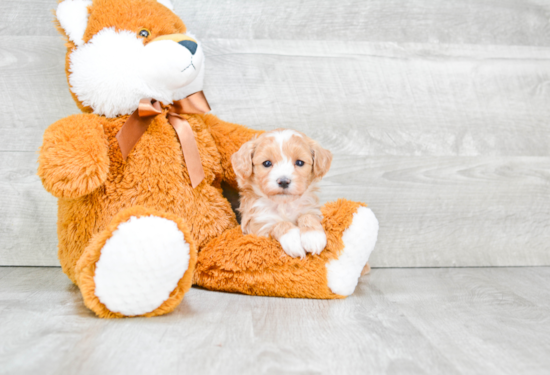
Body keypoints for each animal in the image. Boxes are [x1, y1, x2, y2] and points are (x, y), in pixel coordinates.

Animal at [232, 129, 332, 258]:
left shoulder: (311, 208)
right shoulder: (256, 224)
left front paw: (313, 236)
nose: (283, 181)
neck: (284, 204)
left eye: (300, 162)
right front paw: (293, 240)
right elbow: (278, 224)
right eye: (267, 163)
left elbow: (308, 215)